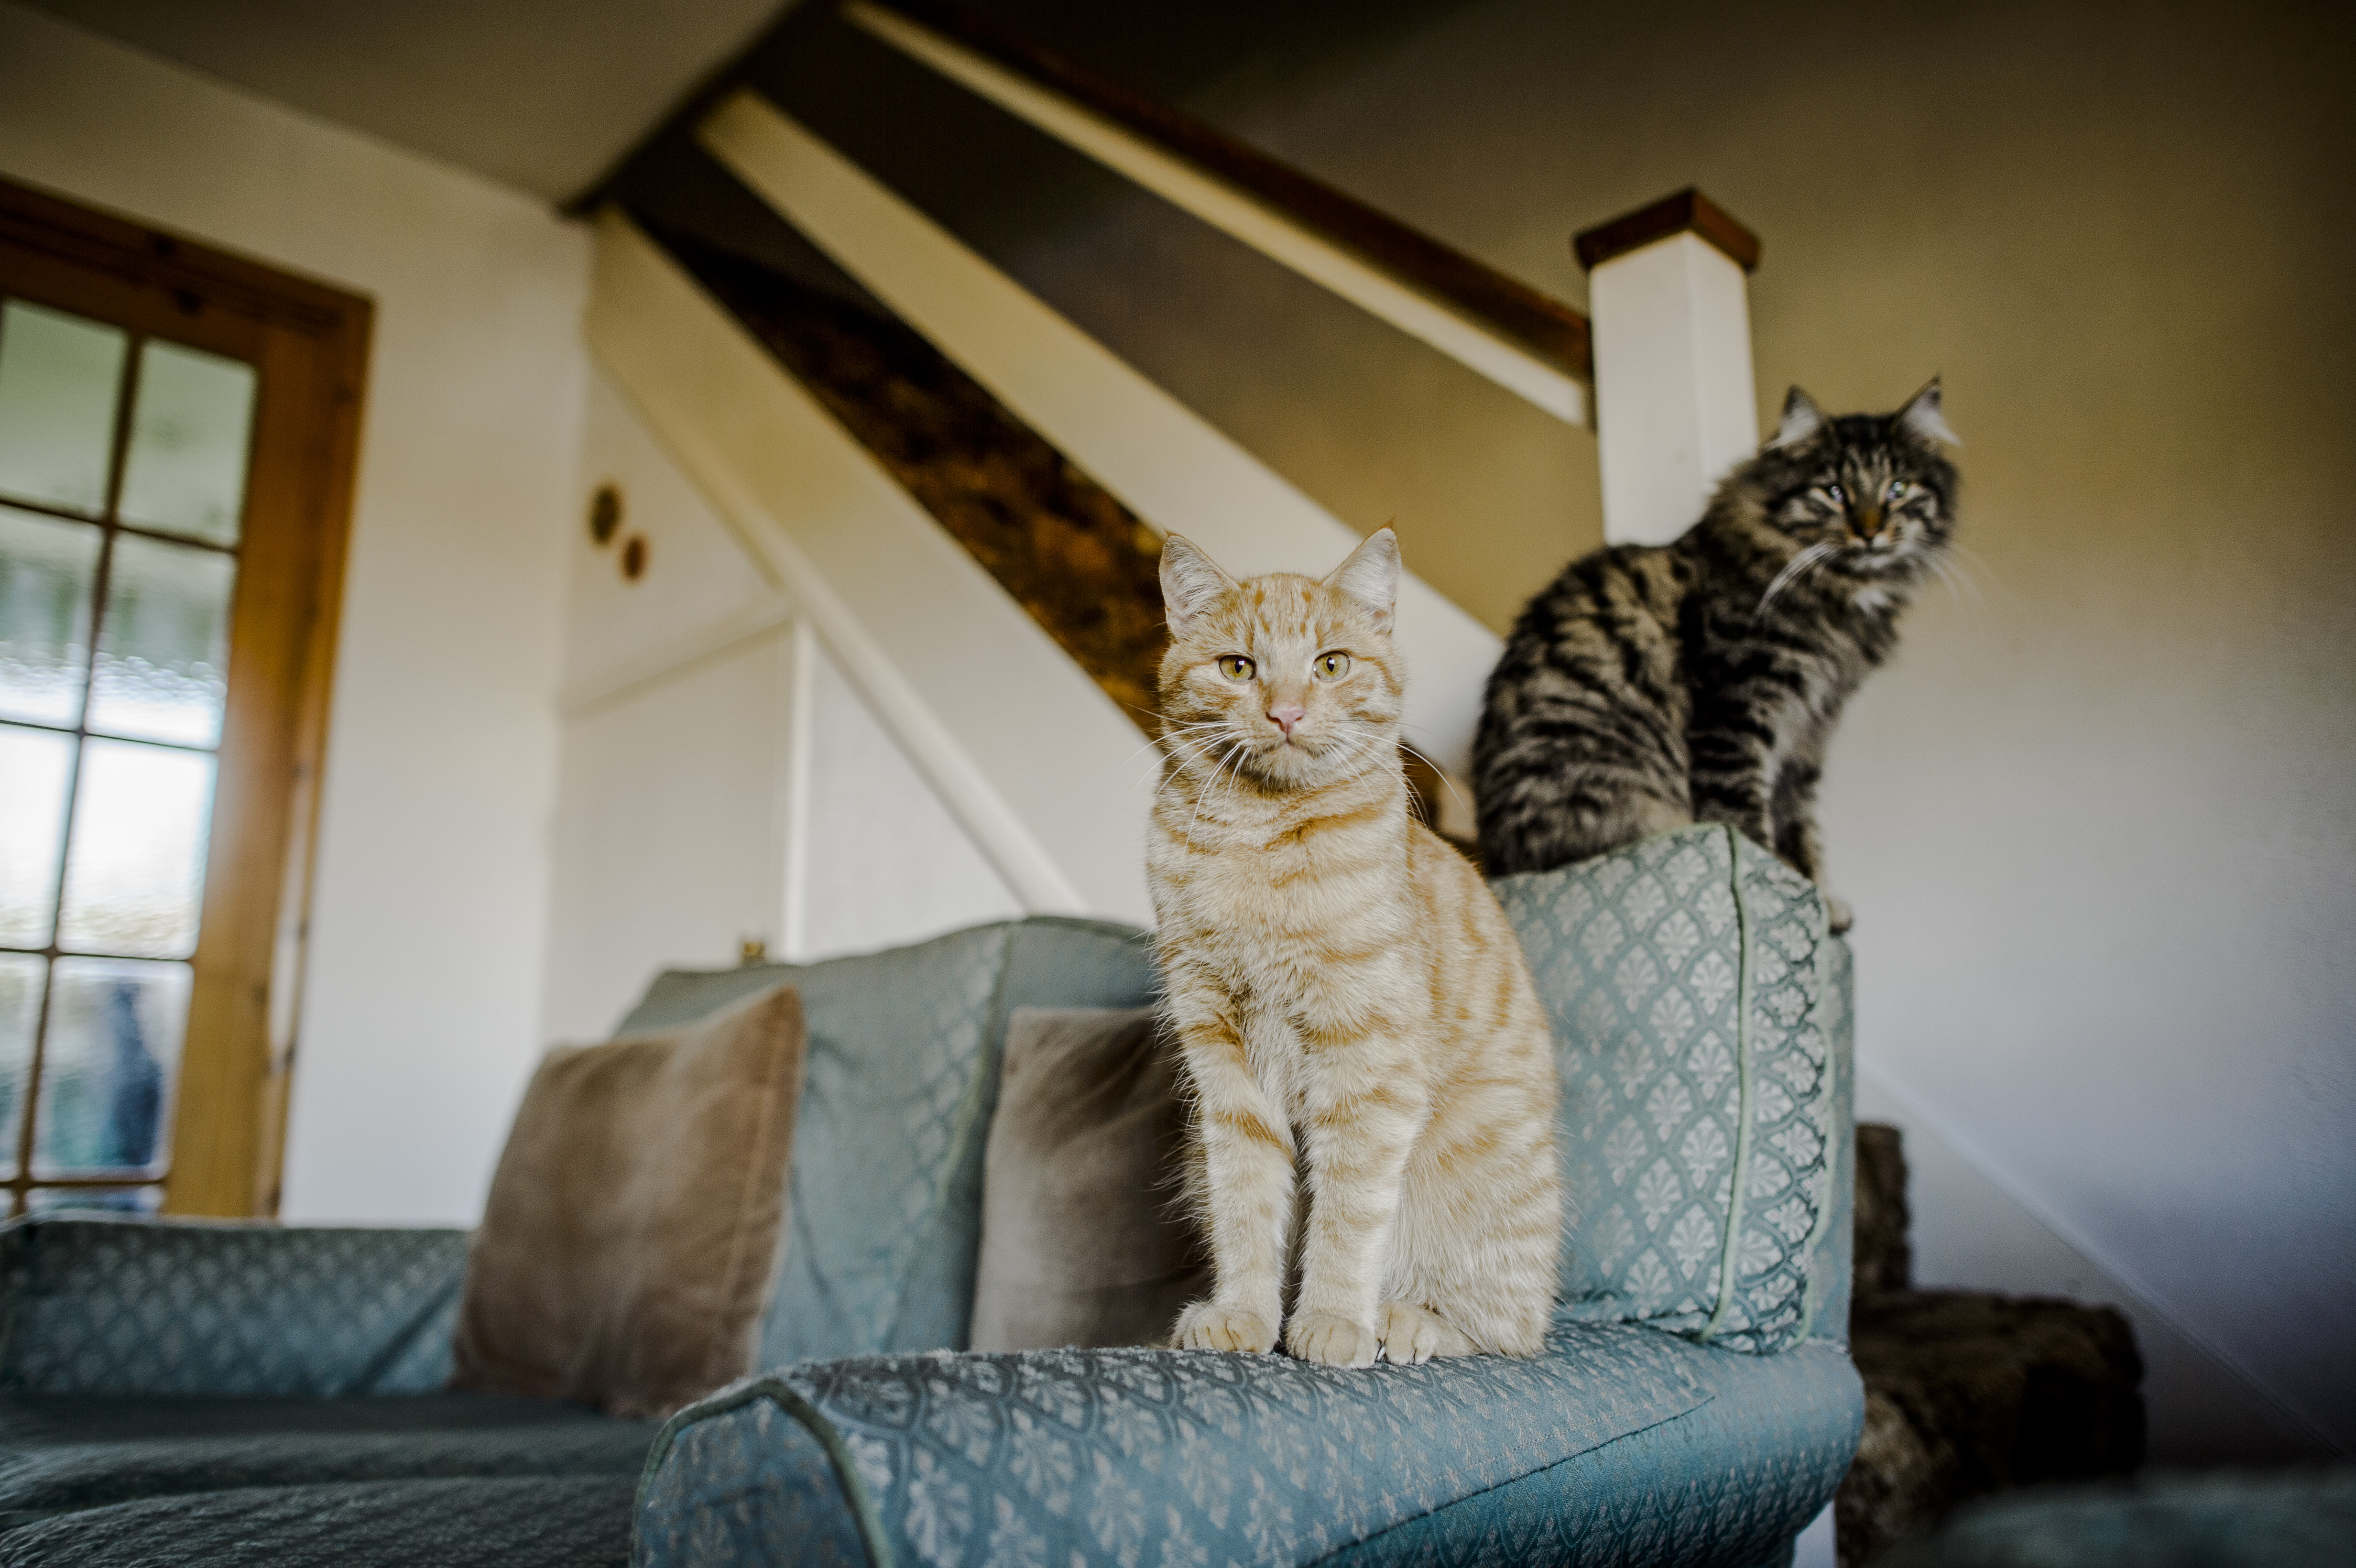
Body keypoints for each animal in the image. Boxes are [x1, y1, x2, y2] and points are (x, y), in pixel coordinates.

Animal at [1145, 532, 1555, 1365]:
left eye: (1331, 664)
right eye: (1239, 667)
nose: (1287, 712)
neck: (1257, 840)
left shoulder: (1370, 1070)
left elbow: (1348, 1216)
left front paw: (1333, 1323)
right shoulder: (1224, 1067)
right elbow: (1245, 1206)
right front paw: (1244, 1316)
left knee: (1510, 1331)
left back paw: (1406, 1322)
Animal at [1479, 381, 1960, 918]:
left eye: (1898, 489)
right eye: (1833, 492)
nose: (1871, 530)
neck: (1839, 597)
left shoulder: (1811, 729)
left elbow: (1802, 826)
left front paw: (1819, 897)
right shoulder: (1737, 706)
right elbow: (1745, 817)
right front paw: (1770, 882)